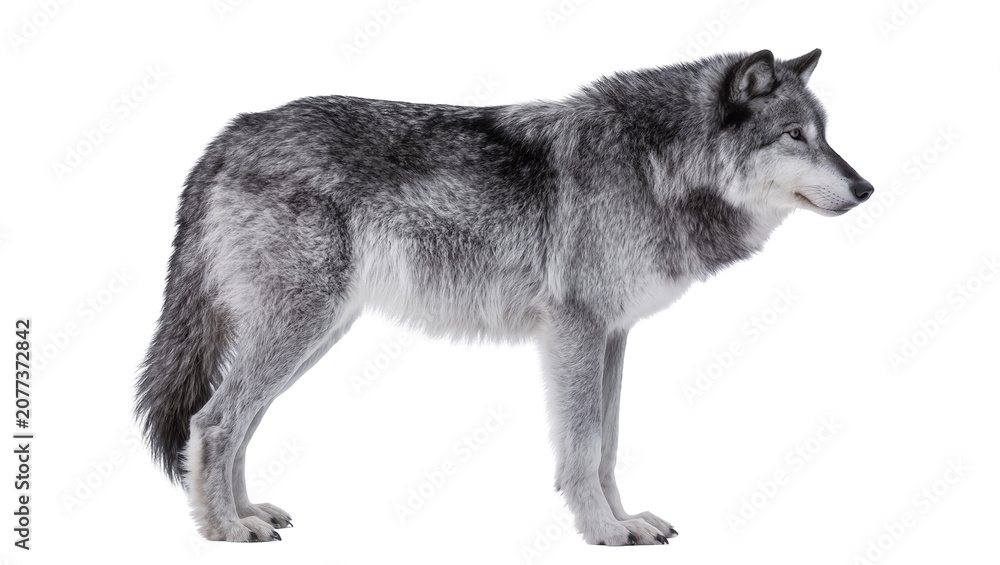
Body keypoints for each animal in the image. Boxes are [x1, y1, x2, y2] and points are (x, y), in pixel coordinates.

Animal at [134, 48, 872, 545]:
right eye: (795, 136)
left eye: (826, 134)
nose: (865, 188)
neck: (656, 166)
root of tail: (228, 134)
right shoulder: (575, 330)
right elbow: (582, 447)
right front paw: (603, 531)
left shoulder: (611, 335)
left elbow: (606, 446)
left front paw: (623, 519)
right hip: (300, 328)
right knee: (214, 420)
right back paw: (224, 530)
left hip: (314, 334)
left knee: (236, 422)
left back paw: (247, 513)